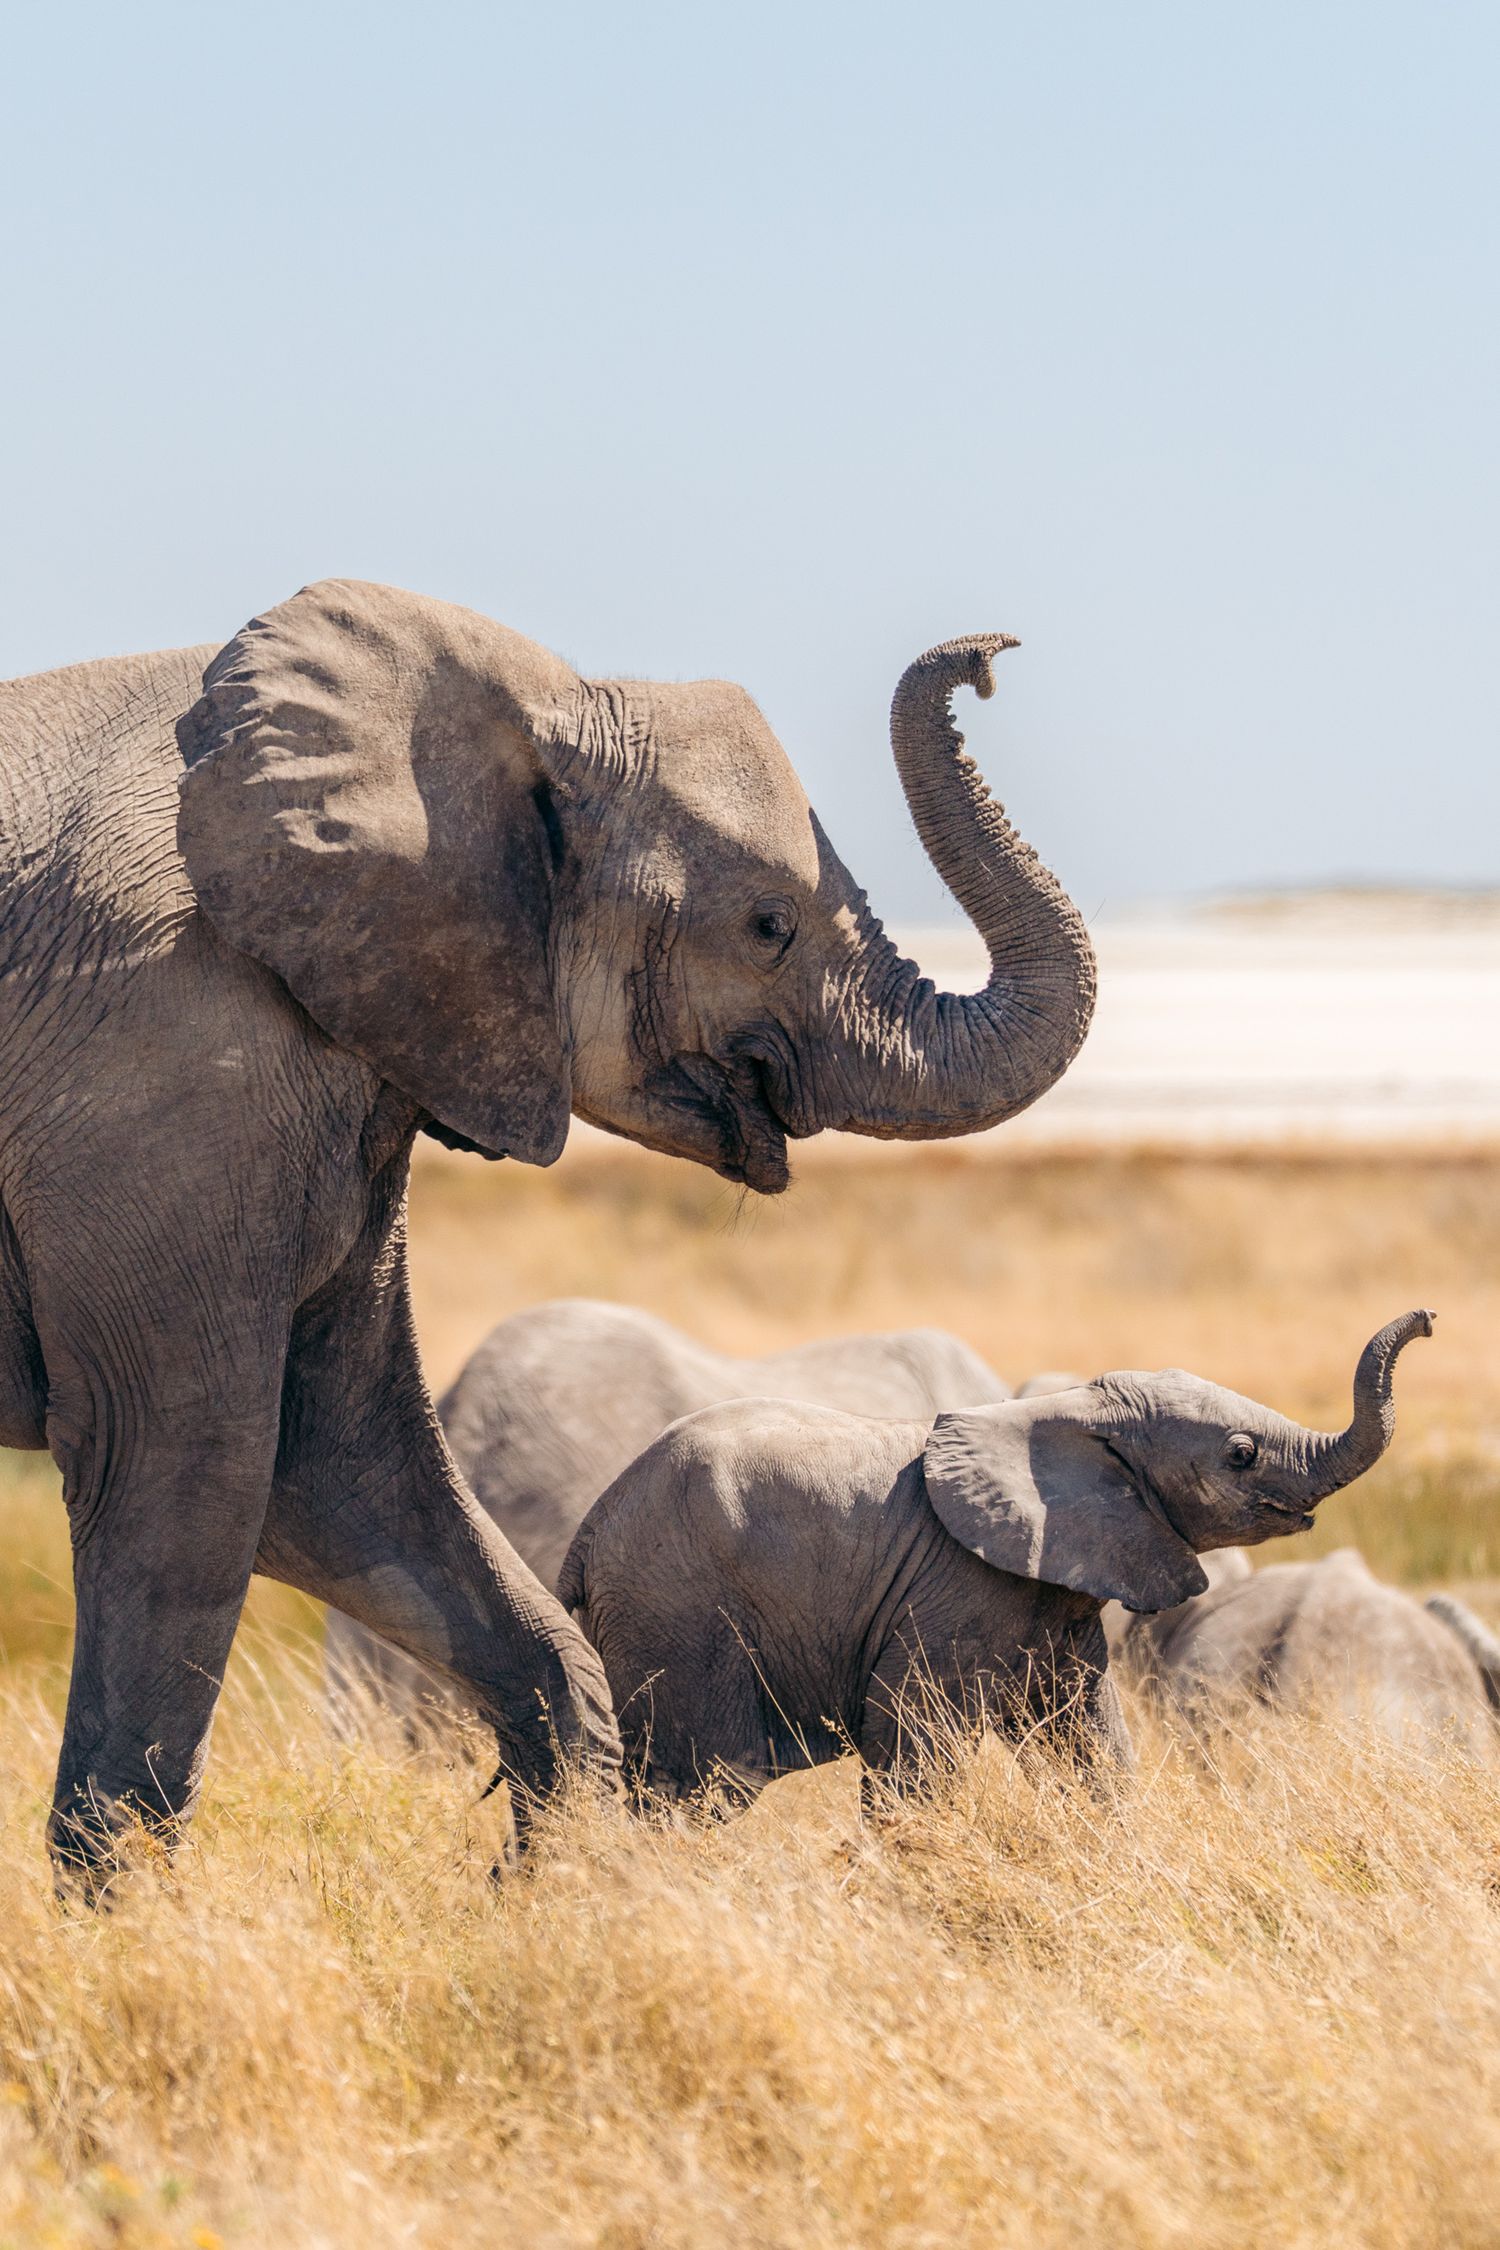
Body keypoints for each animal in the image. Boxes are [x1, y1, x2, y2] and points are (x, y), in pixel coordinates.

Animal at [558, 1311, 1433, 1802]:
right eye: (1242, 1454)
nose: (1425, 1318)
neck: (1073, 1413)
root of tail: (587, 1536)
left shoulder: (1059, 1593)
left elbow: (1091, 1747)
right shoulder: (954, 1590)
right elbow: (918, 1748)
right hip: (677, 1612)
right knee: (701, 1785)